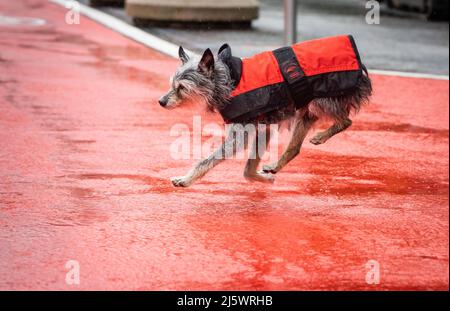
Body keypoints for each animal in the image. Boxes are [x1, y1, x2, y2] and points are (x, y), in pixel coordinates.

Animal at [160, 36, 370, 188]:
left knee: (346, 121)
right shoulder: (264, 128)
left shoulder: (241, 135)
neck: (227, 81)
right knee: (295, 148)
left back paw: (320, 136)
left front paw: (185, 179)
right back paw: (276, 166)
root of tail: (362, 69)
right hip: (307, 111)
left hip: (321, 101)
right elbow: (248, 169)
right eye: (172, 84)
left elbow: (206, 160)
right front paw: (263, 179)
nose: (161, 102)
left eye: (182, 88)